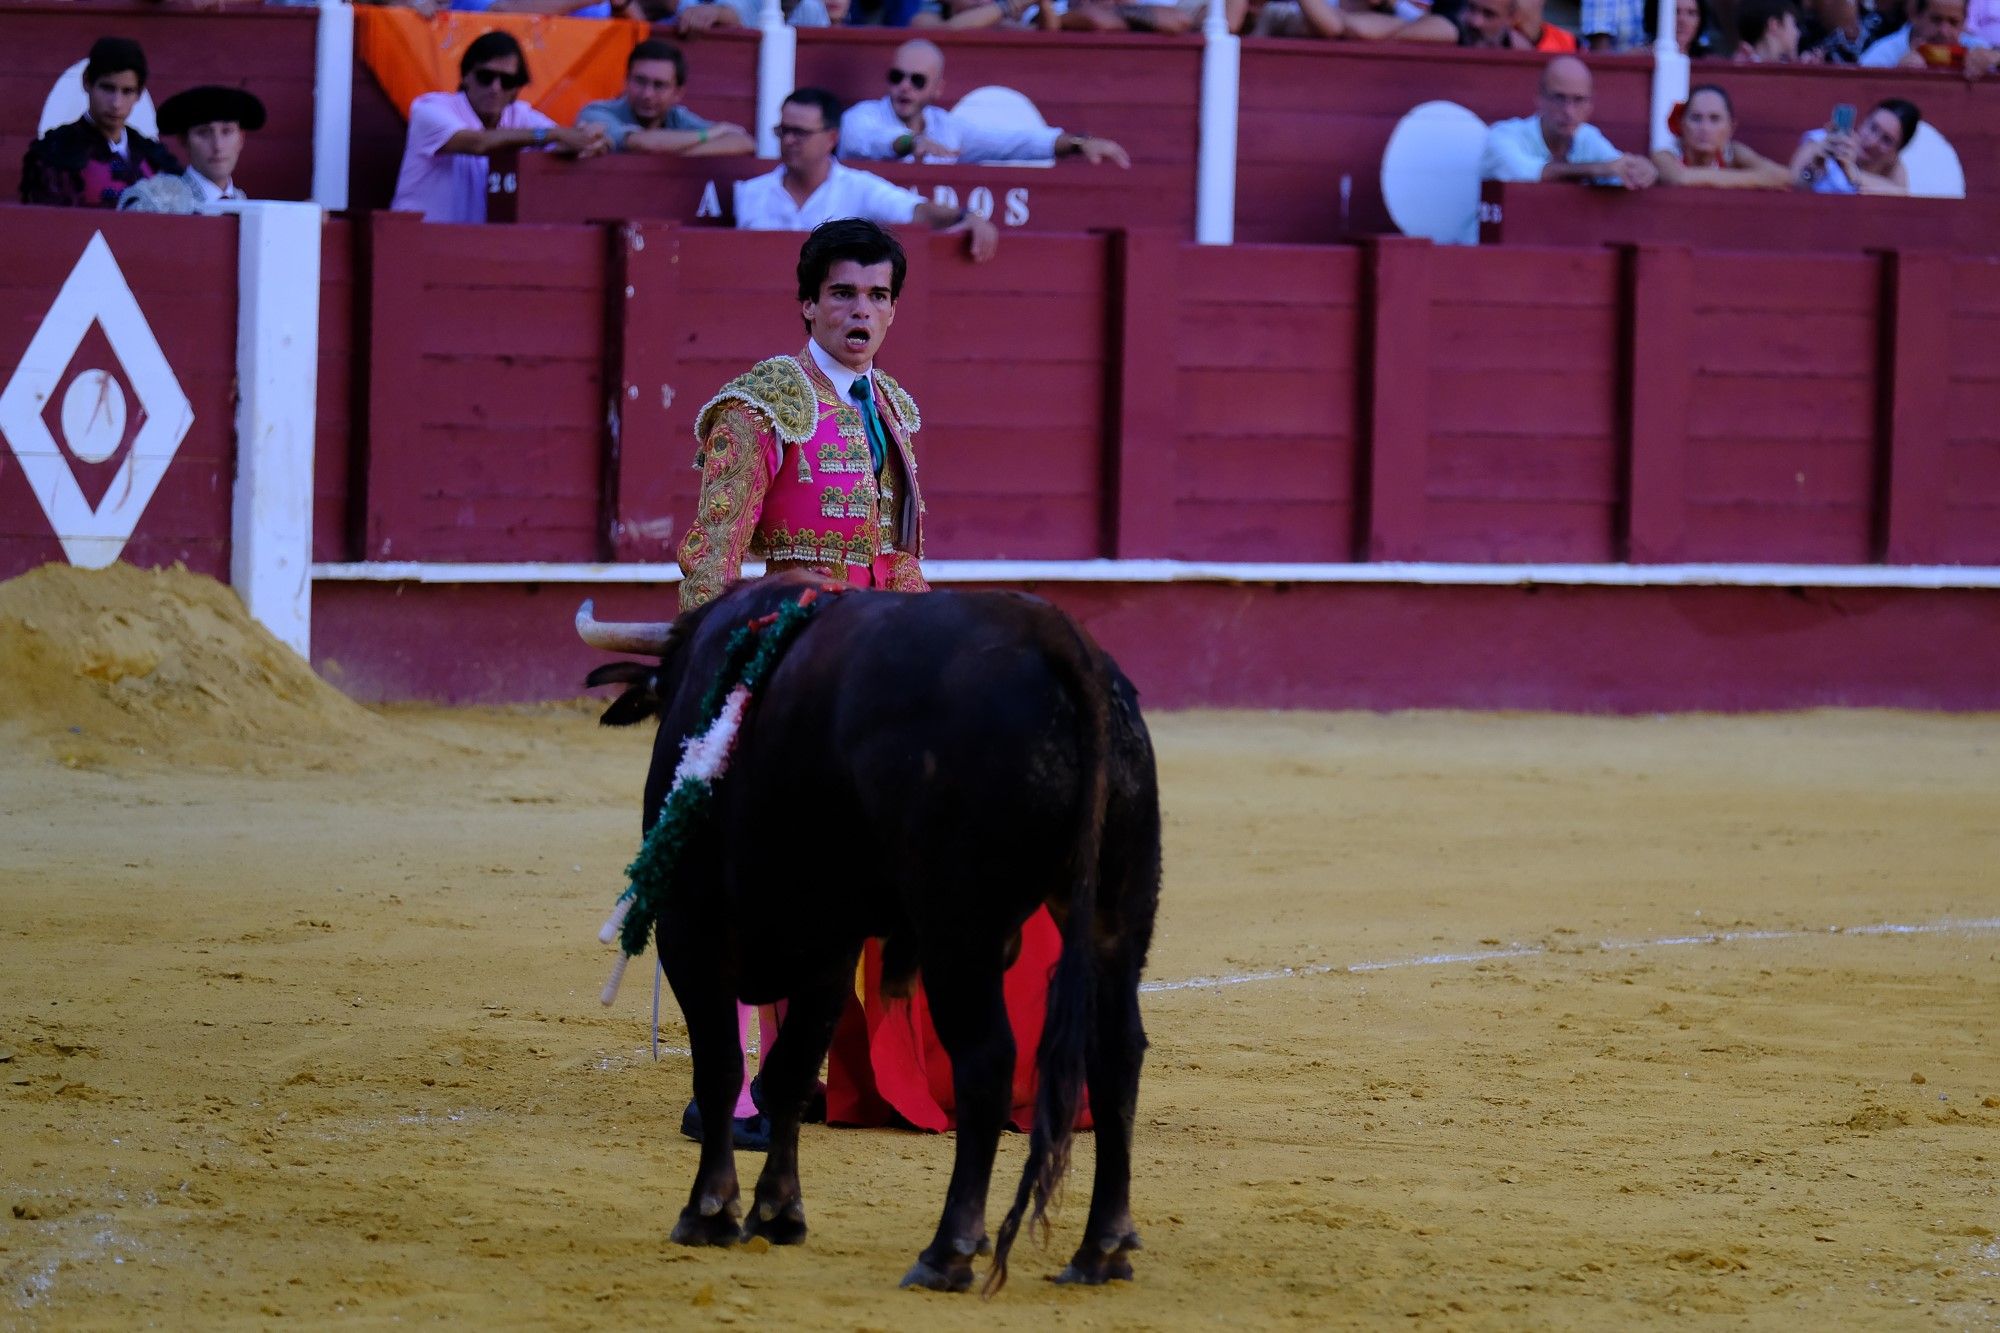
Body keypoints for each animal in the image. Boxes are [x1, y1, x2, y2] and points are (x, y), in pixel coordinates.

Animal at [576, 572, 1160, 1288]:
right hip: (1117, 907)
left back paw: (947, 1250)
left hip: (958, 926)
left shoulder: (690, 927)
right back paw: (1101, 1247)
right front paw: (779, 1213)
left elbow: (719, 1065)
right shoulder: (829, 945)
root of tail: (1060, 642)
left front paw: (709, 1211)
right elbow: (792, 1068)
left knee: (988, 1057)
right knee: (1117, 1050)